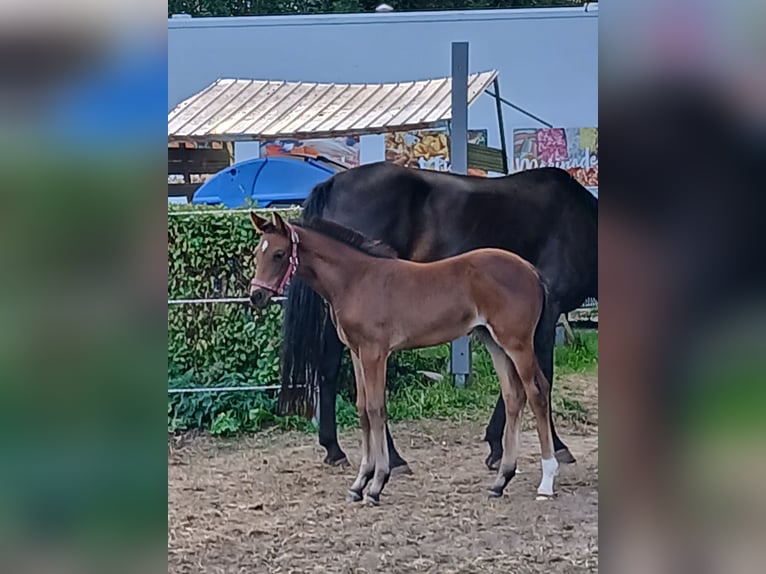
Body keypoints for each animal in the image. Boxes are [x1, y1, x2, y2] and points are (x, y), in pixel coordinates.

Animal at [249, 211, 559, 505]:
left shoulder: (375, 353)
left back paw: (546, 480)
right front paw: (359, 484)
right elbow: (362, 410)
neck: (356, 280)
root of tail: (531, 270)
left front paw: (376, 484)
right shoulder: (357, 352)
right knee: (513, 396)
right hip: (494, 342)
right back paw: (500, 481)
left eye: (279, 254)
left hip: (517, 343)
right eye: (257, 252)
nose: (256, 296)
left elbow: (376, 409)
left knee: (537, 392)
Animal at [277, 161, 598, 472]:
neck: (578, 219)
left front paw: (496, 445)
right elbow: (544, 375)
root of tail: (333, 184)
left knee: (329, 366)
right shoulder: (547, 314)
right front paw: (552, 446)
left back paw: (335, 449)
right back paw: (392, 459)